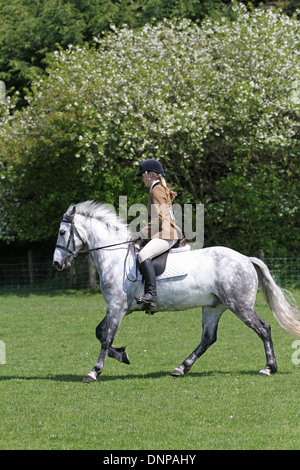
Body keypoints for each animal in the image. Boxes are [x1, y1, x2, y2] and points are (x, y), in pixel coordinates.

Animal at [52, 201, 298, 382]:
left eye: (63, 232)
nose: (56, 263)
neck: (115, 256)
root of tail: (246, 258)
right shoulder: (118, 307)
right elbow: (99, 332)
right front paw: (122, 355)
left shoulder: (117, 306)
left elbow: (106, 337)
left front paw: (94, 371)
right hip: (214, 306)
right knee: (208, 338)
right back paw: (181, 368)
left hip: (240, 305)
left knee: (263, 329)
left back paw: (268, 368)